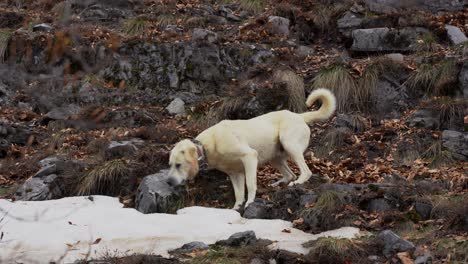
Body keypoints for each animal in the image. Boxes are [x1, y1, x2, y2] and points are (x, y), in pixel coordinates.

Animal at [168, 88, 336, 208]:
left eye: (179, 165)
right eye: (170, 165)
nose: (169, 182)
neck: (208, 145)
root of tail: (300, 116)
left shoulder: (250, 157)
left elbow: (250, 184)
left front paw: (250, 202)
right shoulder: (235, 174)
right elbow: (238, 194)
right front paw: (236, 208)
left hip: (289, 144)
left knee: (305, 172)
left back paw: (298, 183)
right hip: (274, 158)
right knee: (290, 174)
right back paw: (279, 183)